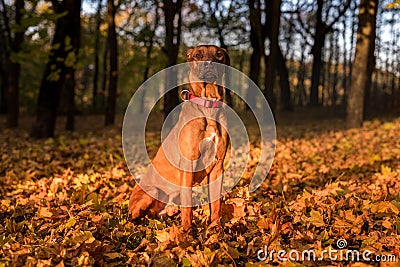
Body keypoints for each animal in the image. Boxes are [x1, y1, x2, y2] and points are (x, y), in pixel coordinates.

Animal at [127, 45, 228, 231]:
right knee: (135, 216)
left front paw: (216, 229)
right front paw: (186, 232)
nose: (209, 63)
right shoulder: (188, 163)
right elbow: (188, 206)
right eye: (198, 54)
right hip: (151, 192)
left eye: (219, 54)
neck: (208, 105)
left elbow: (216, 204)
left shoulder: (218, 166)